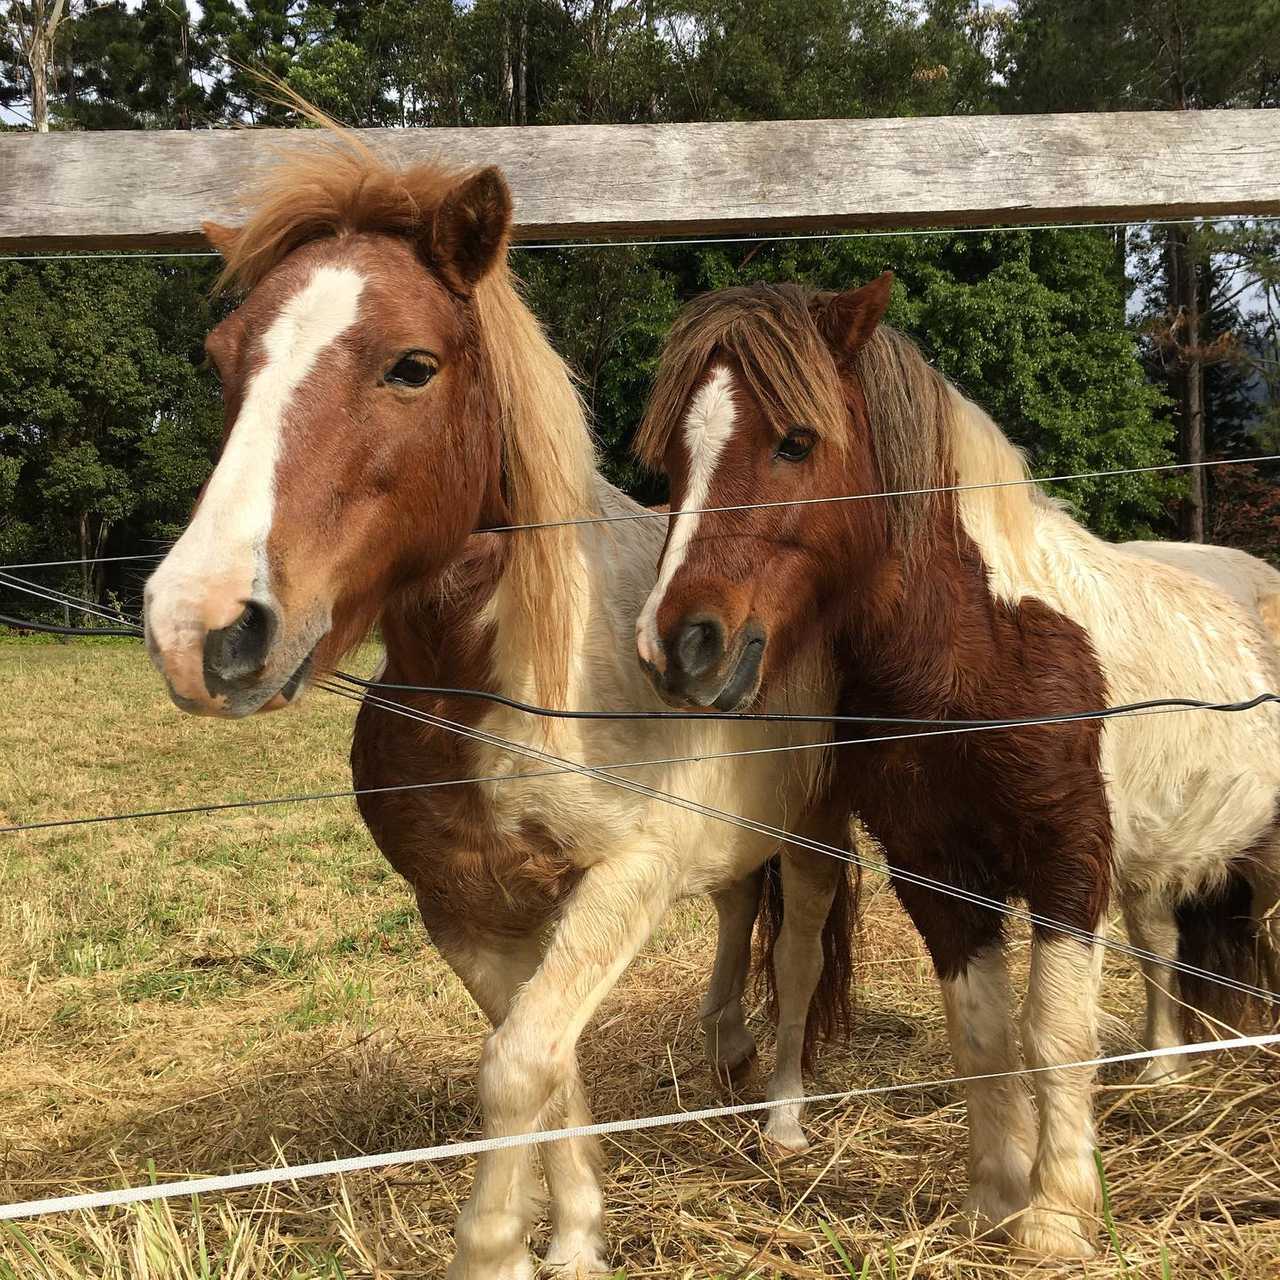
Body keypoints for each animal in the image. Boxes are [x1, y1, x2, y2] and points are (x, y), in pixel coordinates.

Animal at [141, 129, 855, 1279]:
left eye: (411, 365)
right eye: (219, 360)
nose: (198, 626)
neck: (496, 690)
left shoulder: (620, 881)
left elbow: (519, 1065)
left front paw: (498, 1245)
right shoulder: (466, 910)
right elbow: (543, 1062)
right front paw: (572, 1234)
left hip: (818, 828)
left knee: (796, 950)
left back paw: (784, 1118)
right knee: (739, 909)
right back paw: (723, 1048)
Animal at [632, 273, 1280, 1258]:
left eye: (795, 441)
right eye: (671, 458)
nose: (679, 645)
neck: (984, 652)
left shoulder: (1066, 869)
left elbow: (1053, 1036)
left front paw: (1056, 1216)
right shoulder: (937, 875)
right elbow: (980, 1036)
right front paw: (995, 1199)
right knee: (1166, 946)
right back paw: (1163, 1074)